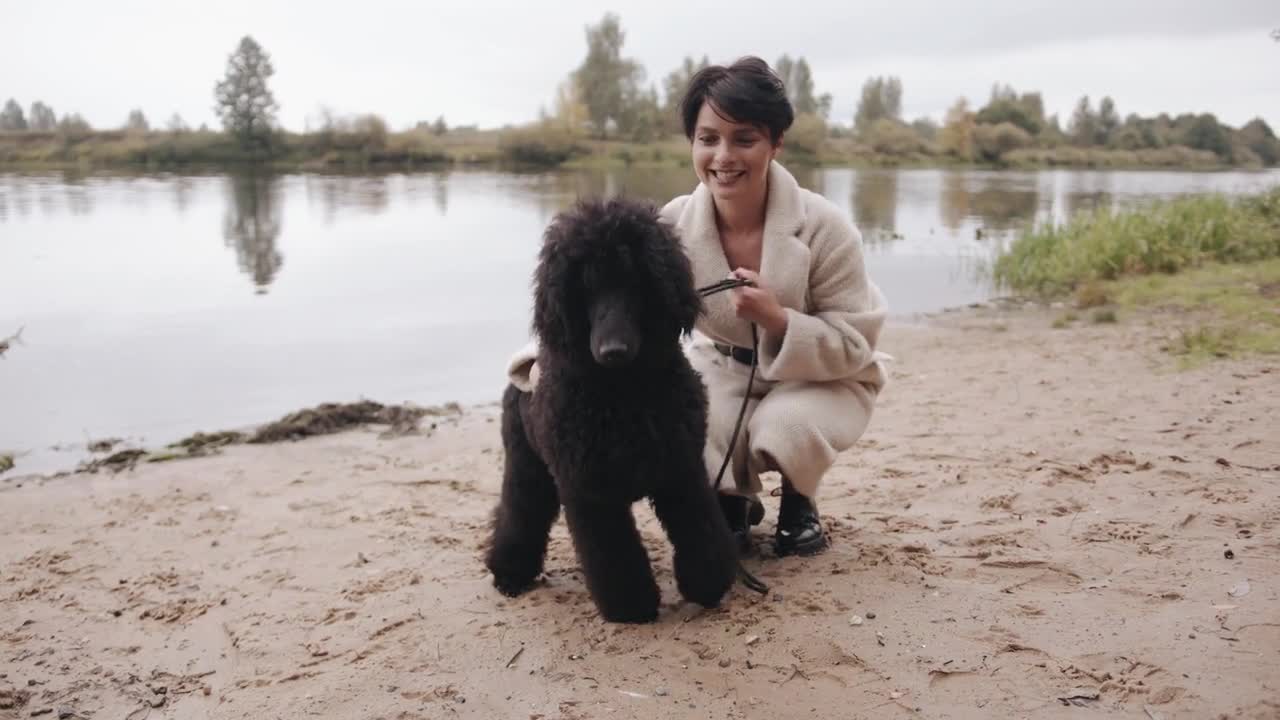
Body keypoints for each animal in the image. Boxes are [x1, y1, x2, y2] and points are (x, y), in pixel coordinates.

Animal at [481, 196, 742, 622]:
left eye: (636, 283)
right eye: (584, 288)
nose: (612, 351)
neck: (624, 395)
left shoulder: (681, 471)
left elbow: (700, 531)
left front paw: (707, 584)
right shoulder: (591, 492)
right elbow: (615, 556)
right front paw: (631, 606)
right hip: (527, 464)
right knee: (519, 513)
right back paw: (509, 574)